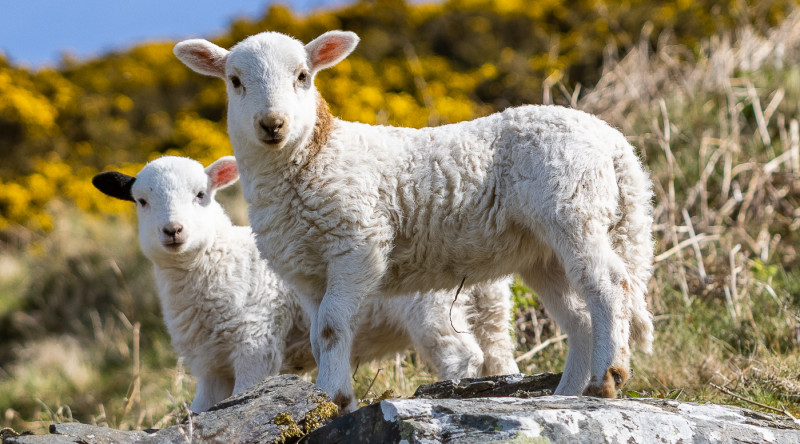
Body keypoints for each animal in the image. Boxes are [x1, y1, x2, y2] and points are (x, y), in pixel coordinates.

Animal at [92, 155, 519, 413]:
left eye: (201, 195)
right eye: (142, 201)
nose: (173, 231)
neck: (216, 260)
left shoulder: (255, 342)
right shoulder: (208, 365)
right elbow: (201, 410)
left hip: (432, 304)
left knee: (461, 355)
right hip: (491, 304)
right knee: (498, 354)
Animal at [173, 30, 655, 413]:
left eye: (302, 76)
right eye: (235, 82)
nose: (272, 124)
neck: (314, 157)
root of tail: (615, 143)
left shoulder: (357, 243)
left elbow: (332, 325)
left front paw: (331, 397)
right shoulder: (307, 272)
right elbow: (321, 333)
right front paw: (335, 399)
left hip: (574, 207)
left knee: (609, 284)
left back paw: (607, 378)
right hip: (542, 249)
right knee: (579, 316)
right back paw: (569, 393)